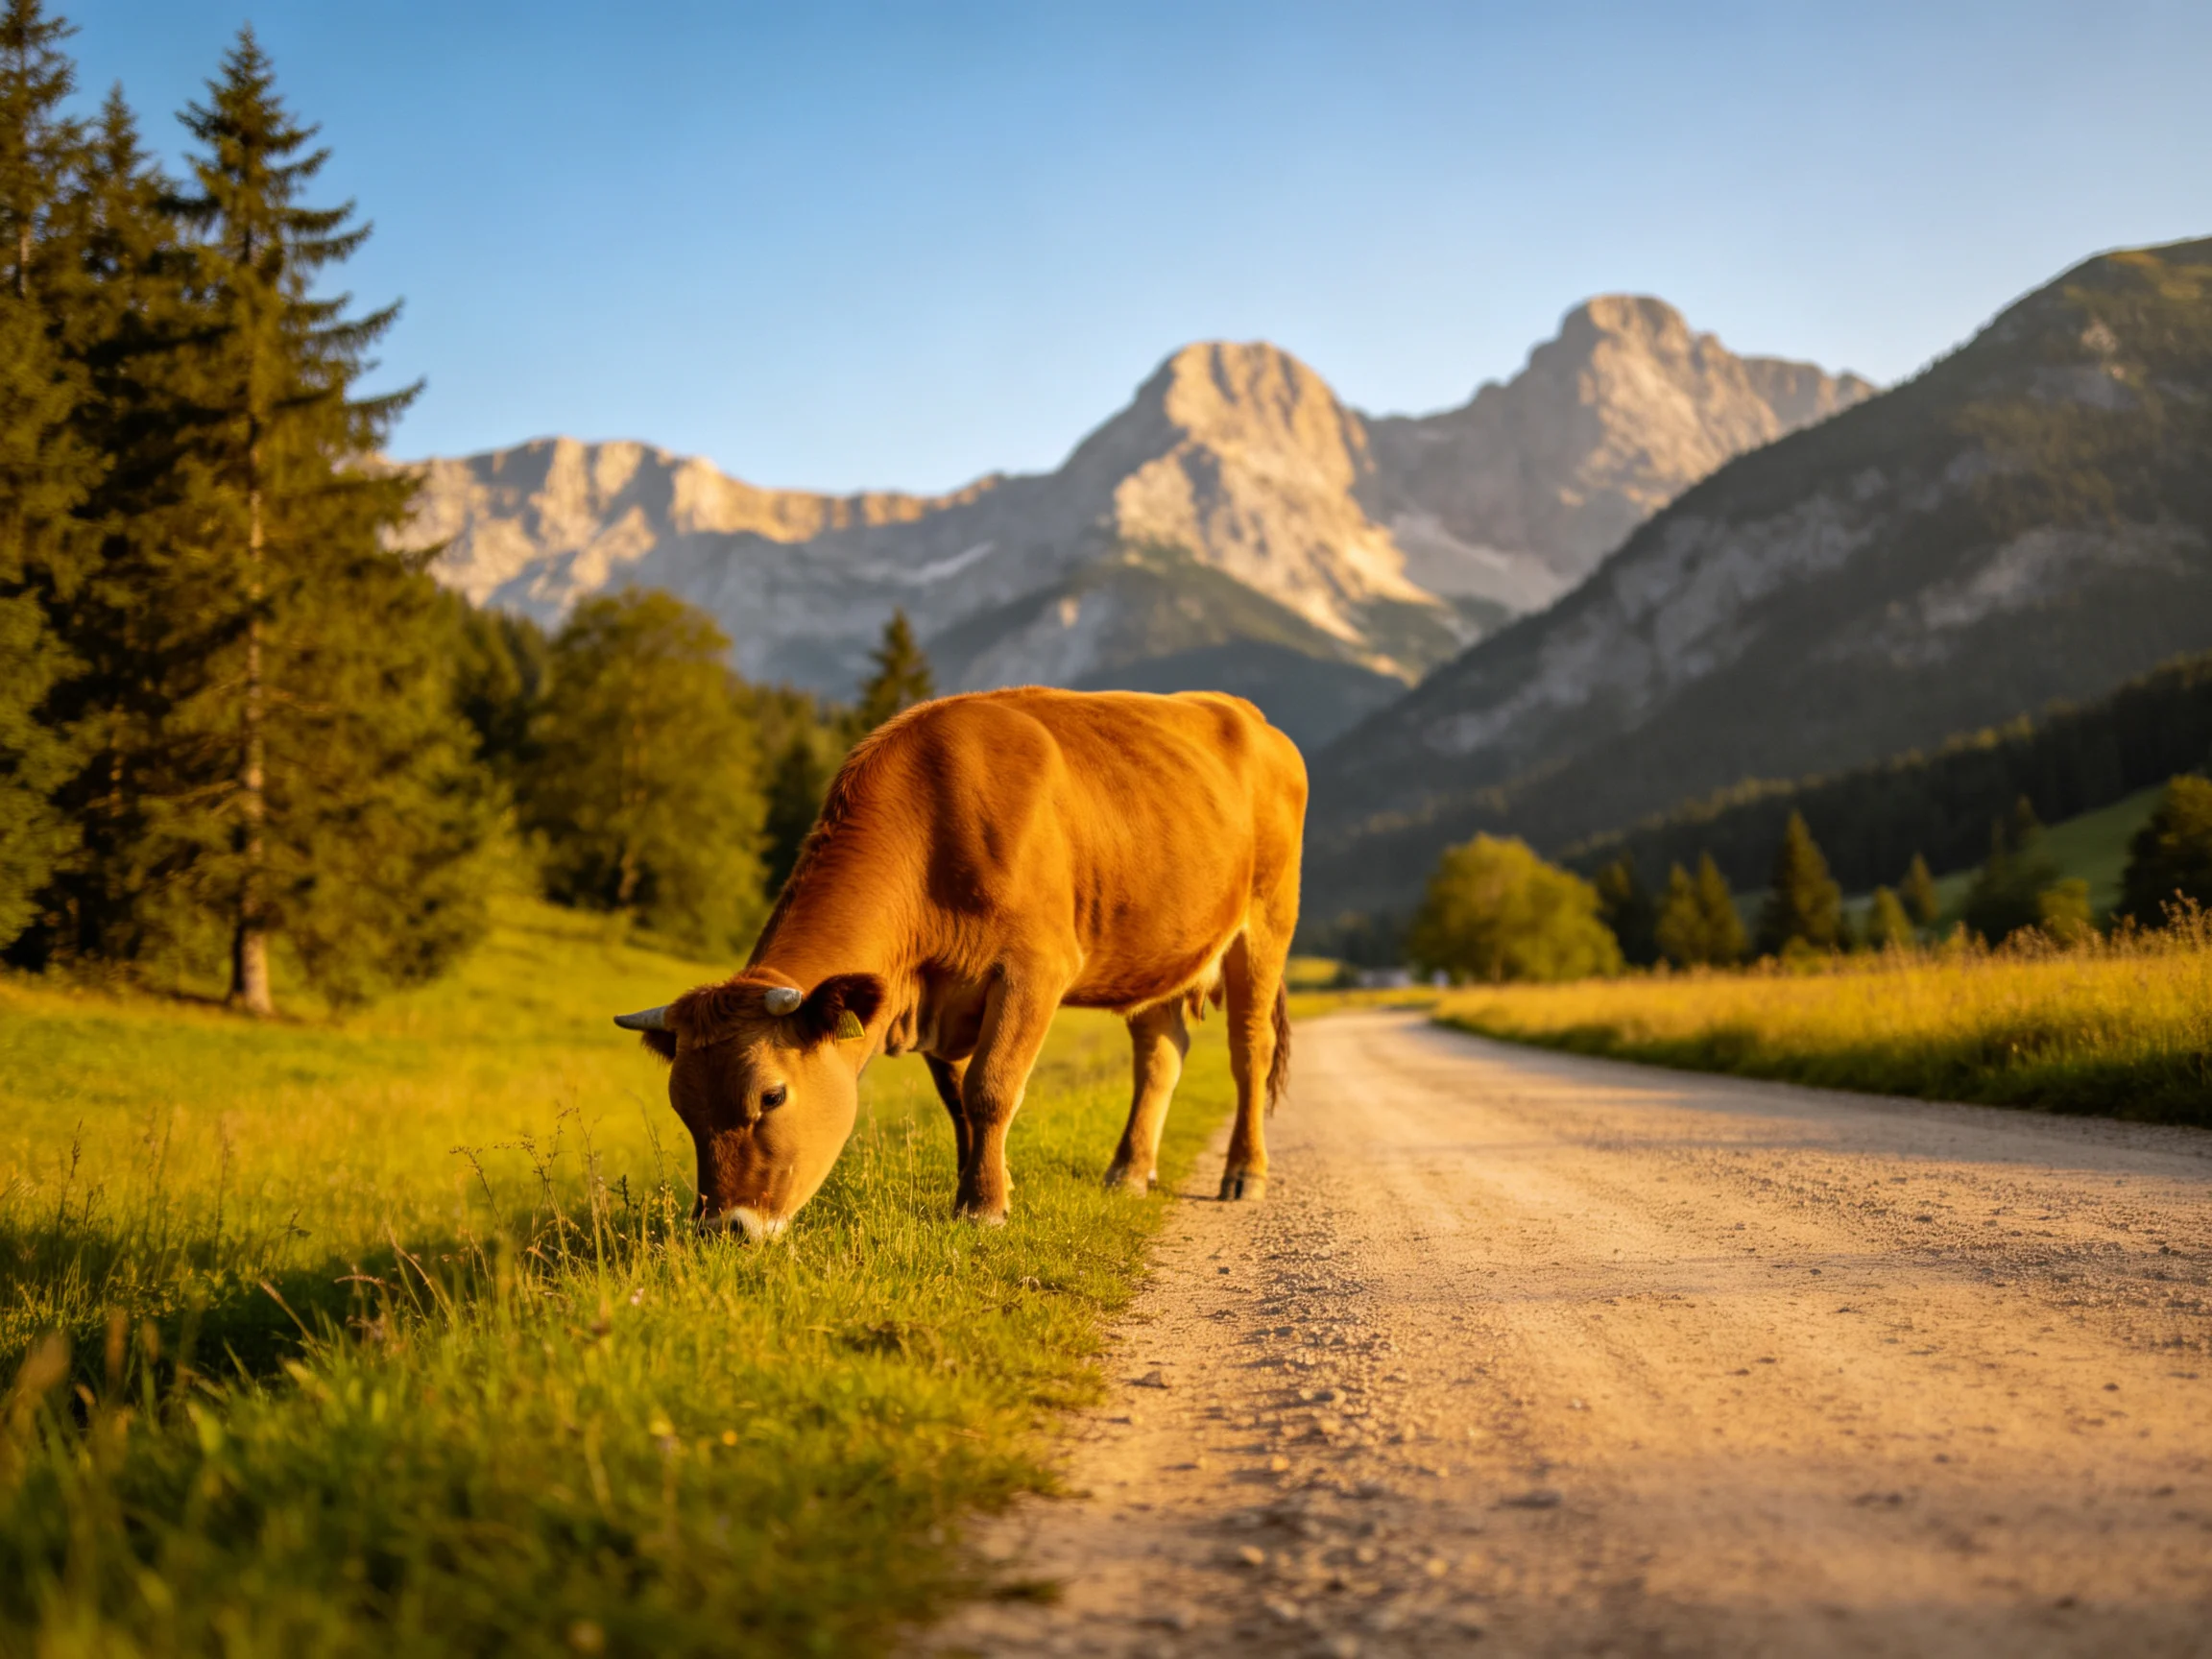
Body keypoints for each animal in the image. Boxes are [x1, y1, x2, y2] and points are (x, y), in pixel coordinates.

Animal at [612, 687, 1306, 1237]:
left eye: (773, 1096)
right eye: (683, 1107)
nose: (723, 1227)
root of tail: (1249, 716)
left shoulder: (1034, 970)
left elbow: (991, 1088)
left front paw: (984, 1207)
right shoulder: (940, 998)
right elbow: (956, 1100)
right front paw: (977, 1187)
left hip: (1267, 922)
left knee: (1250, 1050)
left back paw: (1243, 1173)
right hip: (1156, 948)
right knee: (1161, 1054)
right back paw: (1129, 1172)